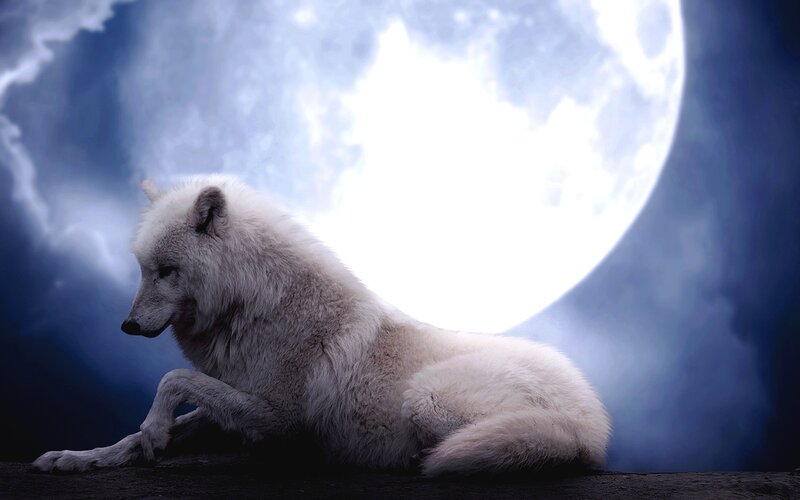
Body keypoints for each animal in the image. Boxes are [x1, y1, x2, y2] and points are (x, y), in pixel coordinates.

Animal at [33, 176, 610, 476]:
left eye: (167, 271)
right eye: (142, 269)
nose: (127, 327)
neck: (254, 304)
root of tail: (592, 420)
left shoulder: (276, 417)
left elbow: (172, 381)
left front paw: (151, 432)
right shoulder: (237, 400)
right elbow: (158, 422)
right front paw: (86, 456)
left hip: (426, 398)